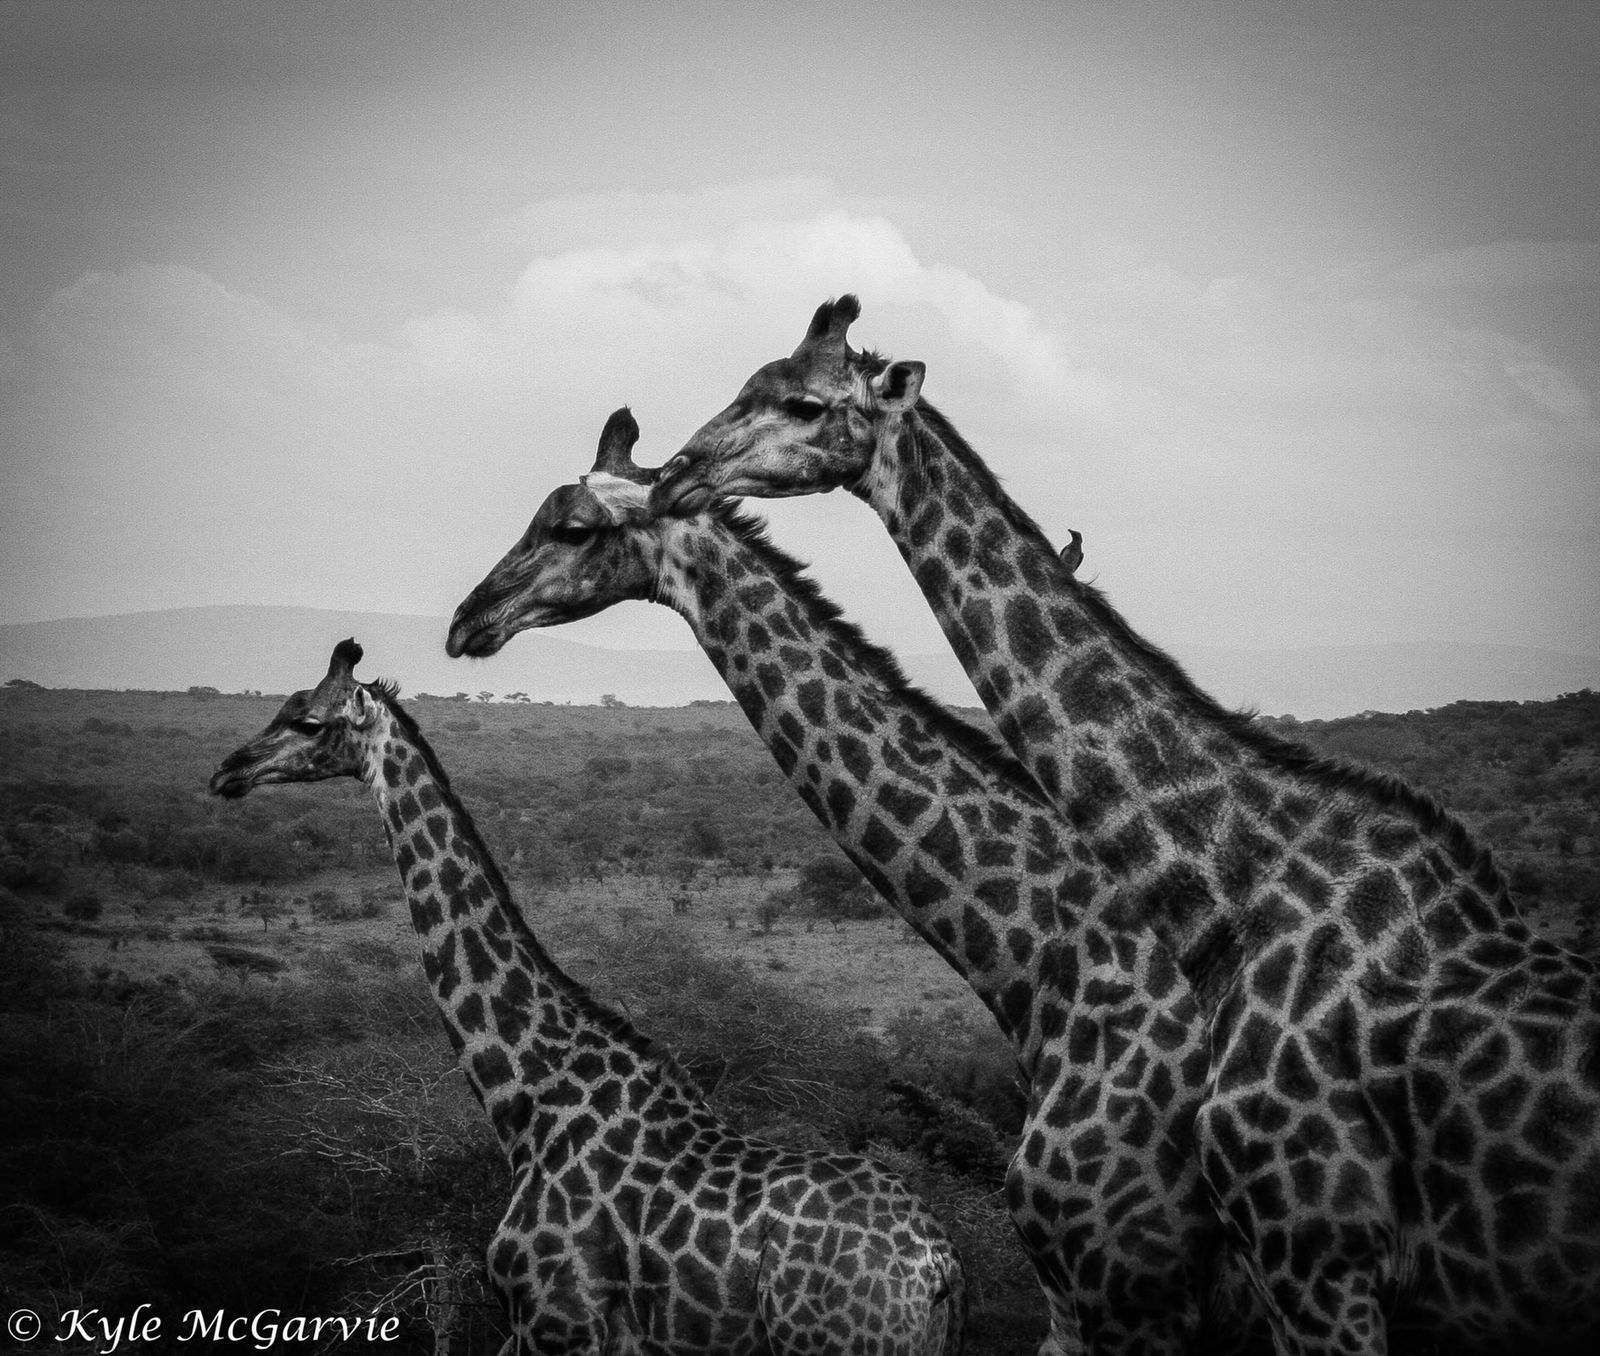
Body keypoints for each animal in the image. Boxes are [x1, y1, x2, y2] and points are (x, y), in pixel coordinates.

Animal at [209, 639, 965, 1356]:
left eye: (309, 721)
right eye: (282, 706)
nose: (226, 772)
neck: (527, 1096)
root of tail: (936, 1266)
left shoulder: (557, 1319)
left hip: (833, 1337)